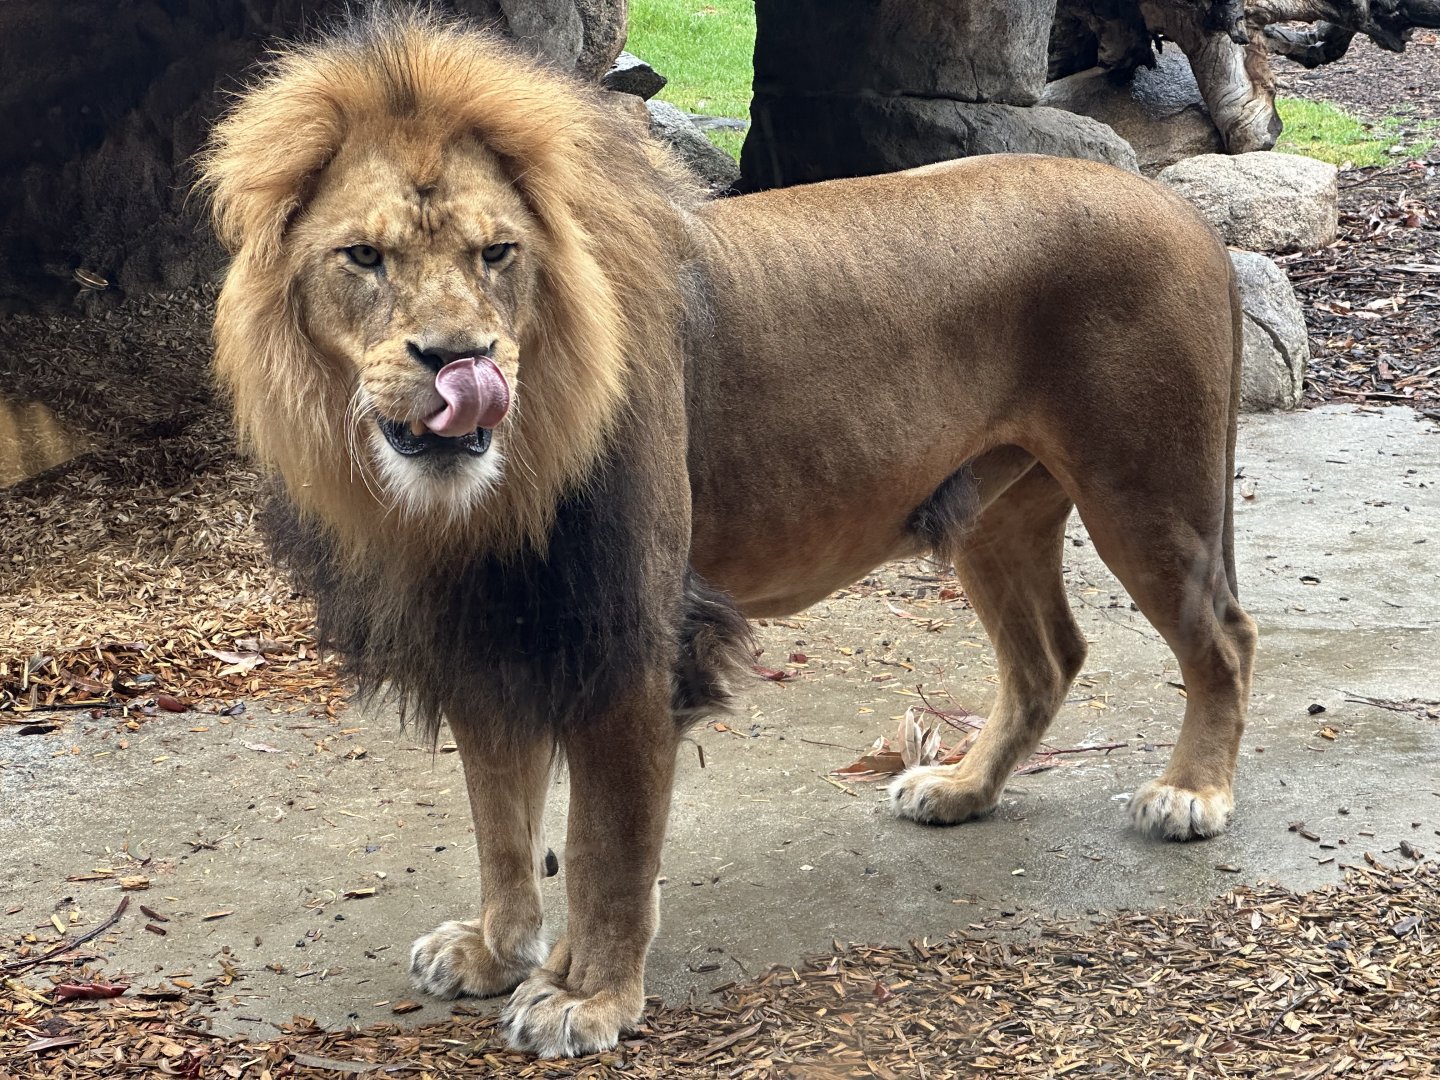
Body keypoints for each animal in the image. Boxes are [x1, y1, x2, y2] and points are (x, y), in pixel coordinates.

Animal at [200, 10, 1256, 1058]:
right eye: (363, 258)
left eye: (497, 254)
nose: (461, 359)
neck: (474, 503)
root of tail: (1180, 211)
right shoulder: (488, 640)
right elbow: (501, 822)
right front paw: (495, 951)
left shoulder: (631, 636)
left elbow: (604, 844)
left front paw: (586, 994)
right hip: (997, 514)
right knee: (1049, 657)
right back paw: (960, 789)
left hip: (1146, 490)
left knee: (1224, 641)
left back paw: (1192, 795)